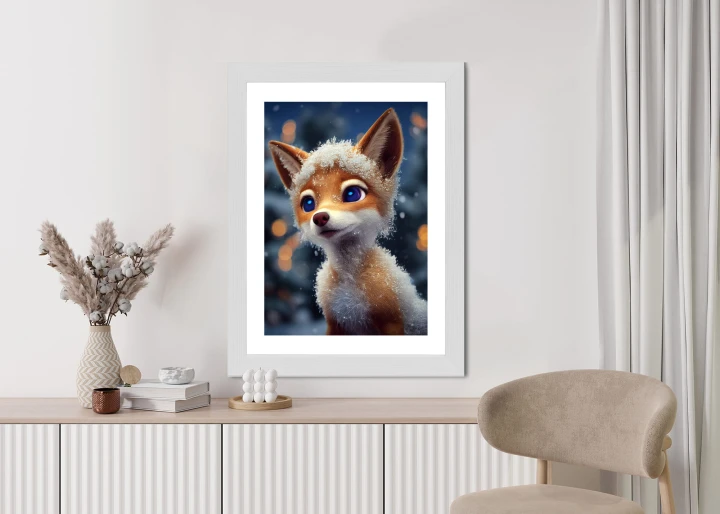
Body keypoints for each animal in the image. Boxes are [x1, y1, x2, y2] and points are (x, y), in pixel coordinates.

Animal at [269, 108, 428, 335]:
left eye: (352, 194)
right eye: (308, 204)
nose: (320, 217)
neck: (349, 284)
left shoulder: (391, 321)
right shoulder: (335, 323)